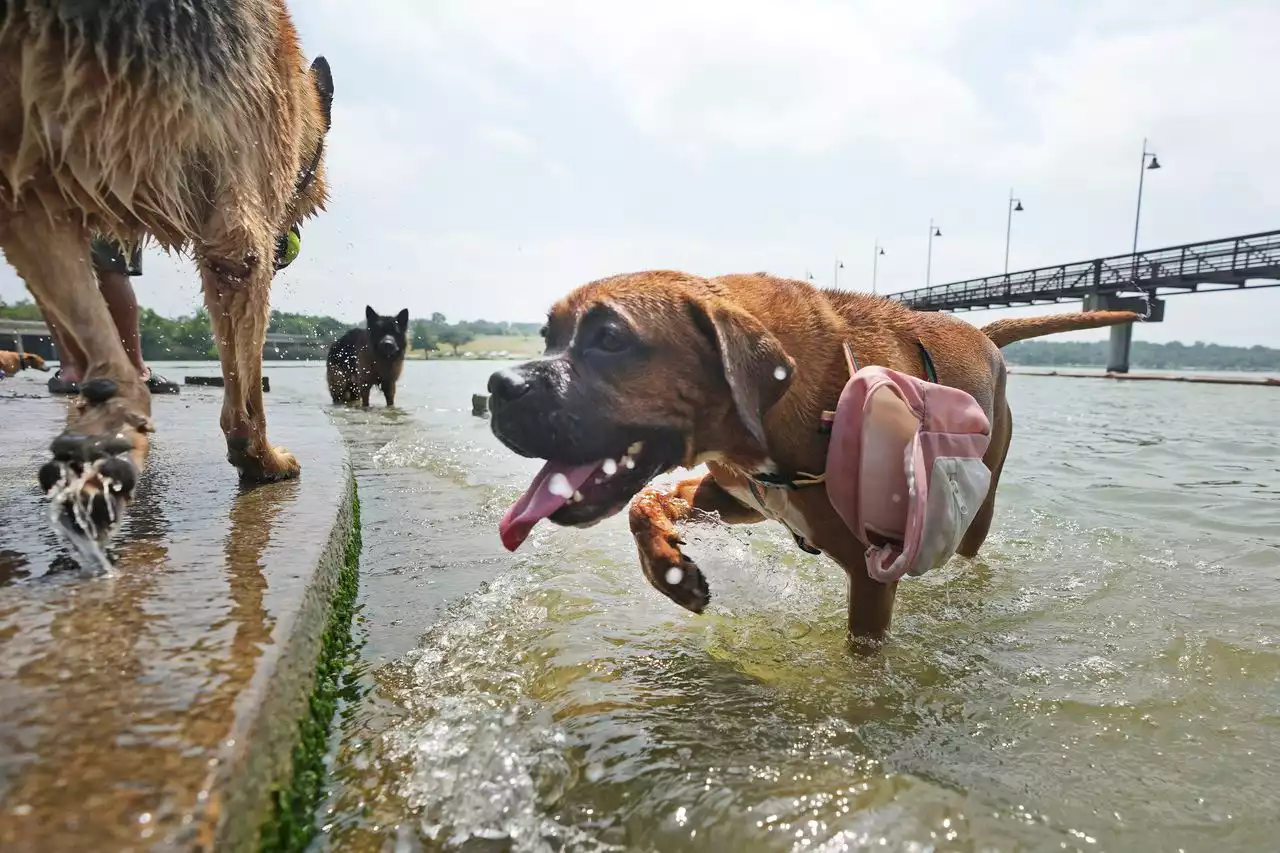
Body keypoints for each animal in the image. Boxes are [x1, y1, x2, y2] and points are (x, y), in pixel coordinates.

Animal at [488, 272, 1141, 645]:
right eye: (549, 336)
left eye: (611, 338)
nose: (497, 386)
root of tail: (984, 332)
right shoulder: (737, 495)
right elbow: (644, 504)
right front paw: (670, 570)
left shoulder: (872, 577)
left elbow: (862, 653)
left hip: (980, 509)